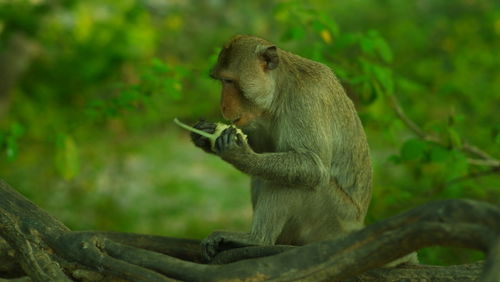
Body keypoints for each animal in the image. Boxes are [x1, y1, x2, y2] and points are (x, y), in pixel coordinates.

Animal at [189, 34, 374, 262]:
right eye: (220, 81)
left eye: (229, 81)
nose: (223, 106)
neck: (281, 90)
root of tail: (355, 226)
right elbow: (267, 149)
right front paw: (204, 136)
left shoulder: (306, 99)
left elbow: (313, 166)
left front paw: (239, 154)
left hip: (333, 219)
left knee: (297, 180)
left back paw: (257, 240)